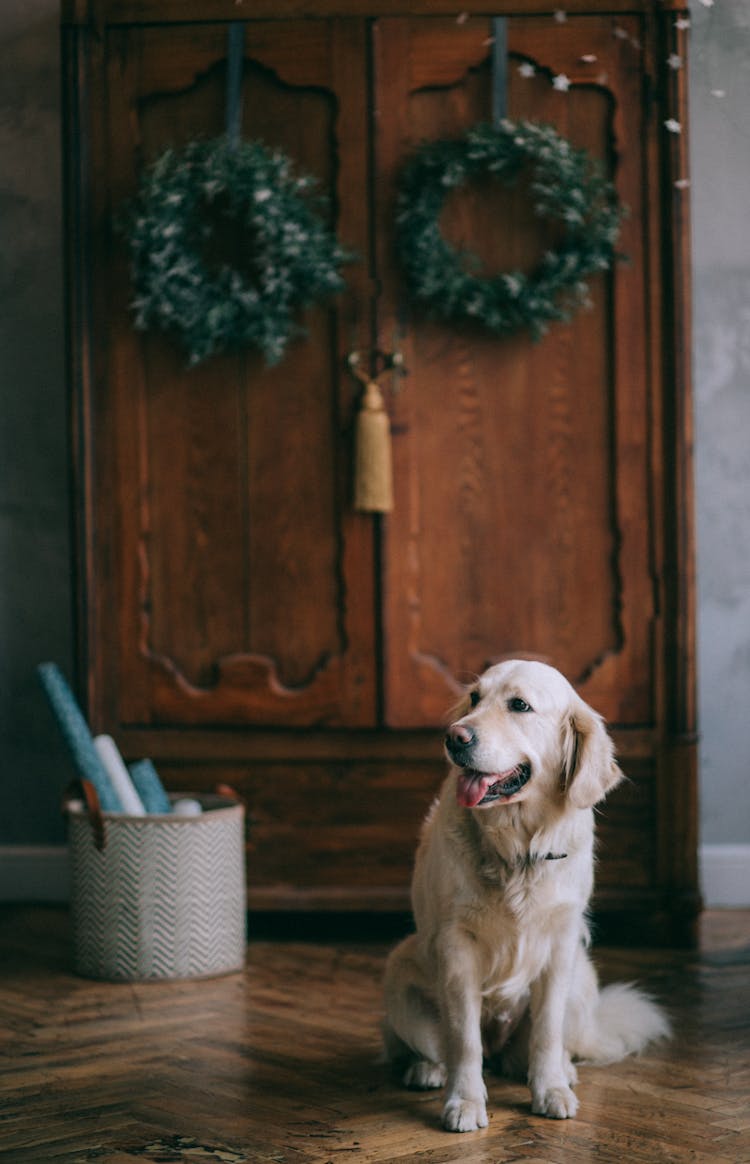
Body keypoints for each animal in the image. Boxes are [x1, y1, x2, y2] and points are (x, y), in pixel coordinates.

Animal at [384, 661, 670, 1131]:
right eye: (475, 698)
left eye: (519, 705)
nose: (454, 737)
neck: (518, 850)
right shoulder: (456, 945)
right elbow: (463, 1038)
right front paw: (465, 1101)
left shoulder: (561, 944)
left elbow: (547, 1031)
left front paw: (550, 1089)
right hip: (400, 974)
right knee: (433, 1045)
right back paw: (426, 1069)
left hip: (583, 976)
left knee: (540, 1049)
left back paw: (560, 1071)